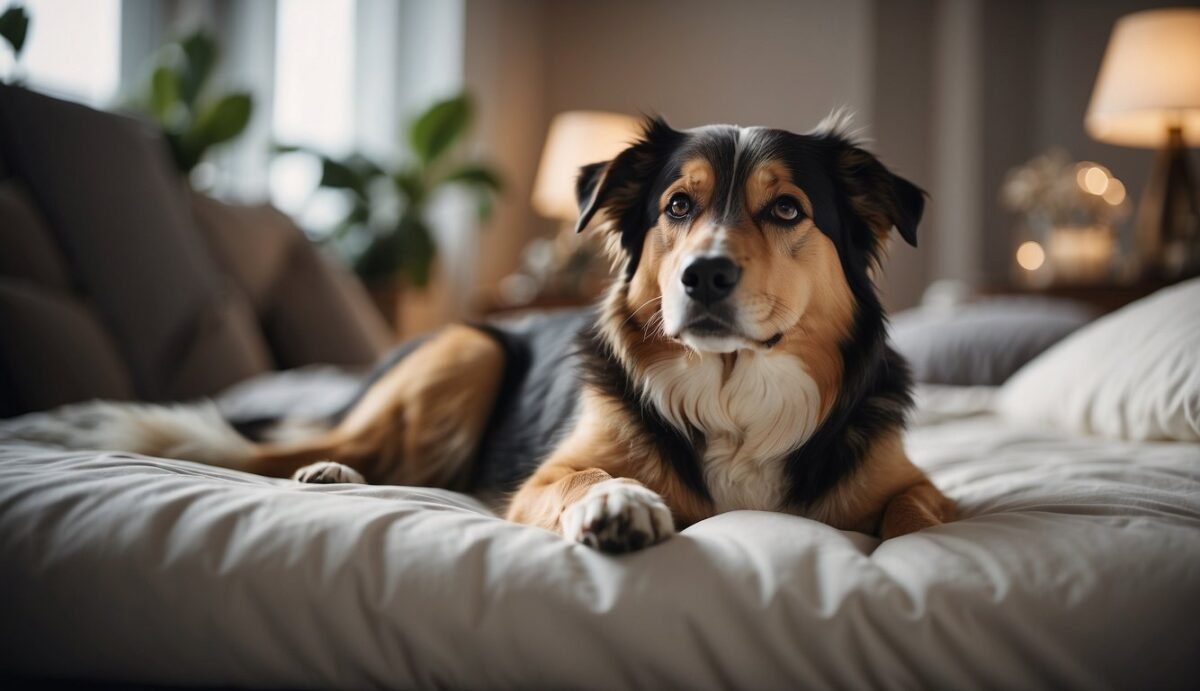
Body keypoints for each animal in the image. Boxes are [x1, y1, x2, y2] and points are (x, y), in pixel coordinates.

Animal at [2, 116, 955, 554]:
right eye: (677, 207)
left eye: (787, 209)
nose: (704, 277)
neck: (732, 386)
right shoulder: (545, 475)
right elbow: (585, 478)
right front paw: (618, 504)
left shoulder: (907, 478)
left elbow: (917, 511)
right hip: (466, 352)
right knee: (318, 448)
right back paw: (332, 469)